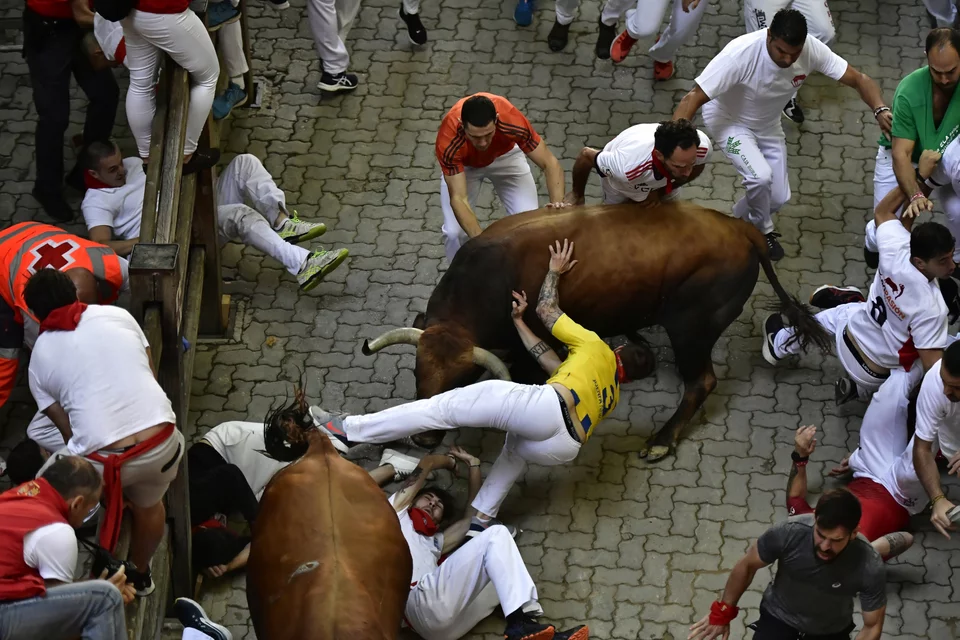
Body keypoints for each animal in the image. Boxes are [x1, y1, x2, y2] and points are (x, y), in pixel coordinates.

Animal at [364, 200, 828, 460]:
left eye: (462, 381)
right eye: (417, 372)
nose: (426, 442)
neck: (488, 279)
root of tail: (740, 228)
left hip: (692, 328)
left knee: (702, 381)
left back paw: (662, 440)